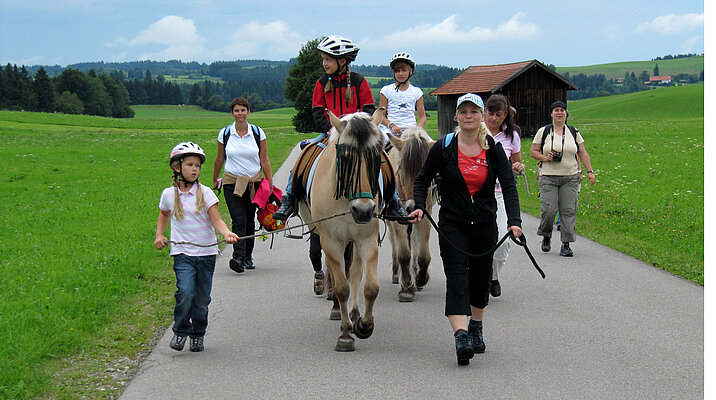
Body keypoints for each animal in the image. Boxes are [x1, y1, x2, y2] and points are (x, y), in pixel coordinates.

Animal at [296, 109, 386, 350]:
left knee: (353, 272)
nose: (363, 211)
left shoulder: (367, 240)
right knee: (335, 273)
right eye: (345, 158)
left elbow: (370, 286)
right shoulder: (331, 242)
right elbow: (341, 287)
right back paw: (338, 309)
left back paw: (354, 314)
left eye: (376, 158)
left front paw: (364, 326)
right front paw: (345, 334)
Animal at [386, 126, 436, 302]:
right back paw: (396, 273)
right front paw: (407, 287)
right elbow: (403, 253)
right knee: (394, 242)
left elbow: (423, 254)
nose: (411, 207)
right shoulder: (397, 218)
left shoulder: (426, 214)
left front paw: (420, 278)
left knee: (414, 239)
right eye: (401, 169)